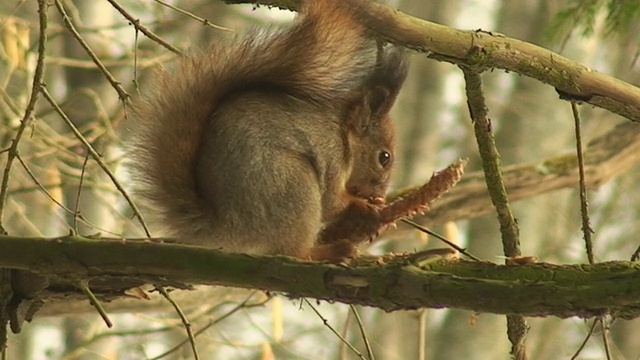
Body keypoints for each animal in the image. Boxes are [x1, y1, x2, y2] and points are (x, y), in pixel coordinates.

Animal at [127, 0, 408, 260]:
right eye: (384, 158)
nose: (379, 194)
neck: (344, 135)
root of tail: (228, 227)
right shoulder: (331, 154)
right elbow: (331, 202)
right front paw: (362, 206)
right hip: (293, 183)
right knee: (293, 251)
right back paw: (329, 251)